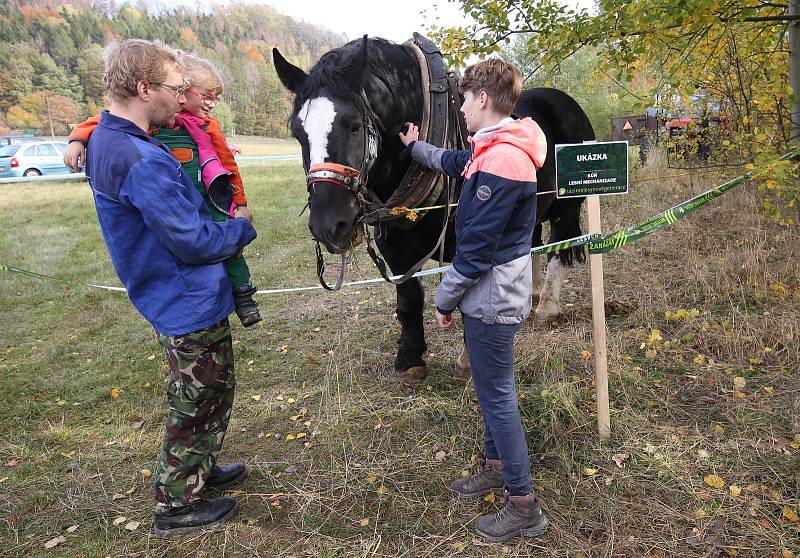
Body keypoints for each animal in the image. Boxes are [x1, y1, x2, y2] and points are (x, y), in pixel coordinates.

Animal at [276, 37, 592, 382]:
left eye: (355, 126)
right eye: (297, 133)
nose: (327, 226)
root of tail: (566, 101)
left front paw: (469, 359)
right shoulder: (394, 248)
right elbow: (409, 300)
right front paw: (410, 358)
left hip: (566, 207)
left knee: (558, 246)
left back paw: (547, 306)